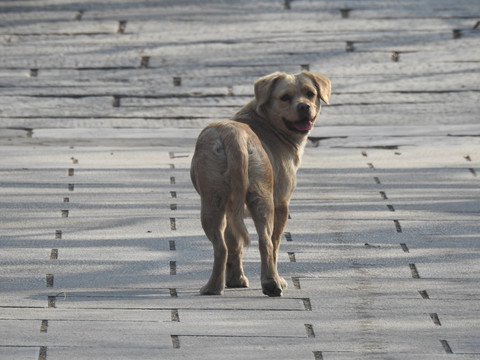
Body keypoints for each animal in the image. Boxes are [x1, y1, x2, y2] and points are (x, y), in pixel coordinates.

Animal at [190, 70, 330, 296]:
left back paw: (225, 286)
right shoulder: (282, 204)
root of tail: (234, 135)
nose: (304, 106)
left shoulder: (232, 210)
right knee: (266, 243)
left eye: (310, 93)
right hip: (257, 202)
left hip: (220, 200)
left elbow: (235, 243)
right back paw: (265, 283)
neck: (266, 122)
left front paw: (236, 279)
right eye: (285, 97)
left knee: (228, 245)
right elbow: (274, 245)